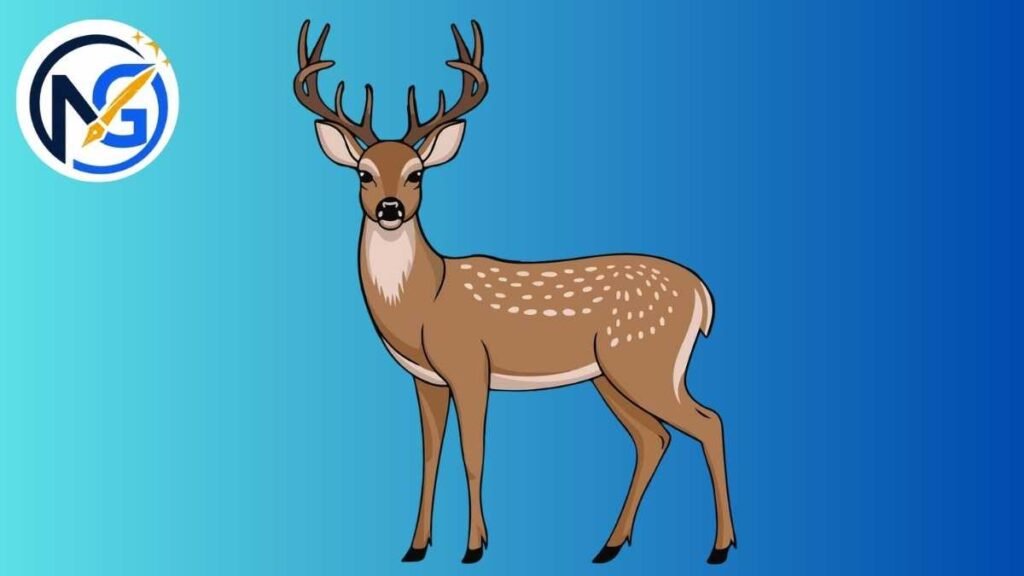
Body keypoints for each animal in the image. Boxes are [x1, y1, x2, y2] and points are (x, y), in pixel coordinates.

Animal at [293, 19, 736, 566]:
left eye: (417, 173)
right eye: (364, 174)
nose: (390, 209)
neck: (423, 305)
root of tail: (703, 294)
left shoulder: (470, 365)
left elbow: (473, 455)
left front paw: (474, 547)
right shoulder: (426, 378)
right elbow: (429, 456)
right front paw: (415, 547)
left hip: (644, 361)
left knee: (708, 422)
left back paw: (719, 547)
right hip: (611, 374)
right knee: (653, 437)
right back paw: (609, 545)